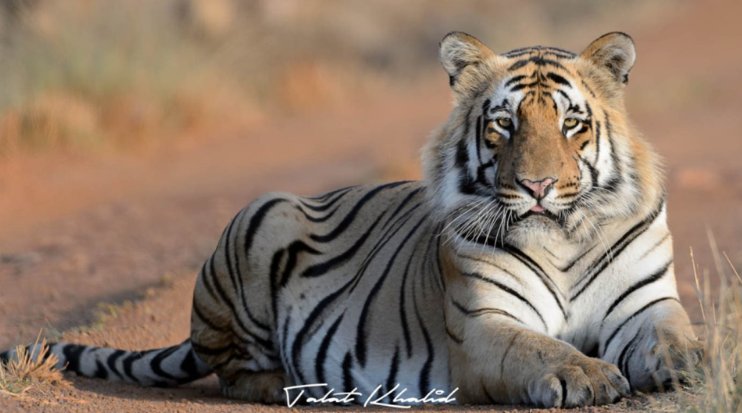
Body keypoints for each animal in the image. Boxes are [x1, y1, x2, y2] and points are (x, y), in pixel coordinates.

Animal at [2, 32, 702, 408]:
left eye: (571, 123)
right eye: (503, 125)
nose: (536, 186)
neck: (564, 236)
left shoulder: (646, 306)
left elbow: (676, 338)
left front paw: (699, 364)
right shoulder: (484, 327)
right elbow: (538, 348)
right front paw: (588, 374)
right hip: (262, 215)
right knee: (232, 371)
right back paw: (294, 385)